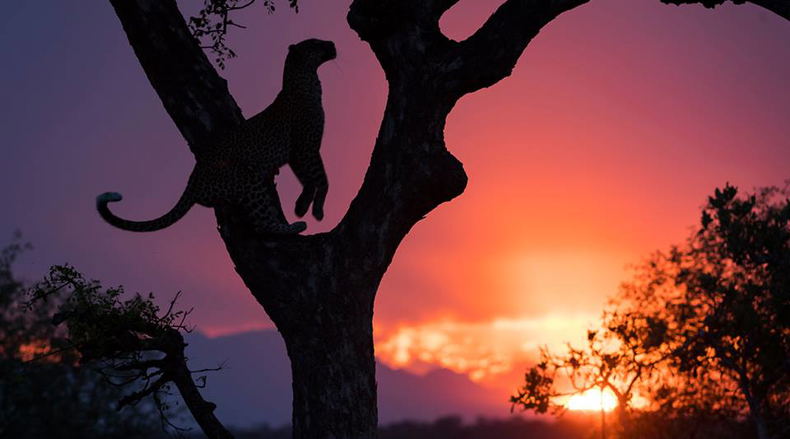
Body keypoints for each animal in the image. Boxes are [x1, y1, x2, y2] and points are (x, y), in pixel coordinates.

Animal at [96, 38, 336, 235]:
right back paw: (294, 227)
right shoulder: (307, 147)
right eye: (315, 42)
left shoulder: (297, 151)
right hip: (247, 179)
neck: (308, 80)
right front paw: (318, 210)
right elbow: (321, 177)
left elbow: (306, 179)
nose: (332, 43)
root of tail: (194, 177)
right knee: (263, 223)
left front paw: (302, 205)